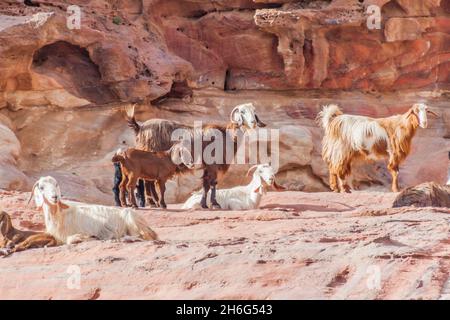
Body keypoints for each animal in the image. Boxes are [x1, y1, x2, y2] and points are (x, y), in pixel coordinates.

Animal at [28, 176, 158, 244]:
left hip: (131, 219)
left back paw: (121, 238)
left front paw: (85, 237)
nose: (54, 197)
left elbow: (71, 239)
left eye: (56, 185)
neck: (60, 215)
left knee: (141, 236)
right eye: (41, 187)